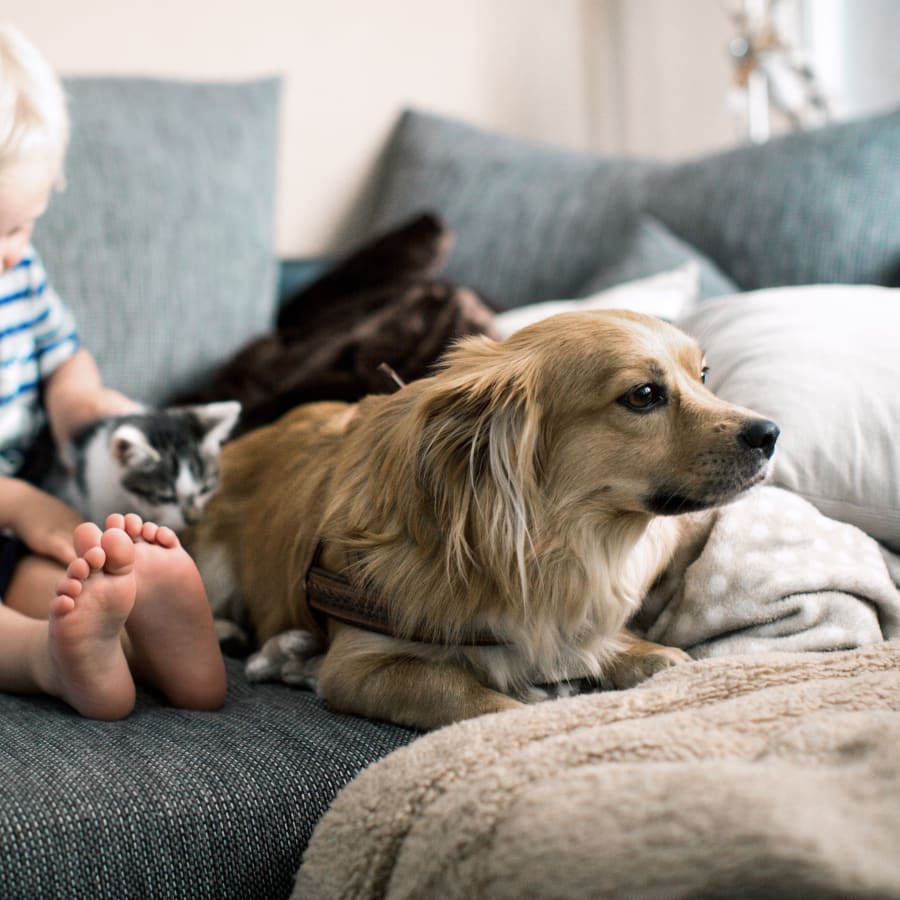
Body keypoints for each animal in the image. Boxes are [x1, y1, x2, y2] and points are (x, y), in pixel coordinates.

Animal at [192, 312, 780, 732]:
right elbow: (479, 701)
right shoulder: (361, 668)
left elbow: (656, 656)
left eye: (703, 375)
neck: (556, 543)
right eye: (643, 395)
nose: (770, 432)